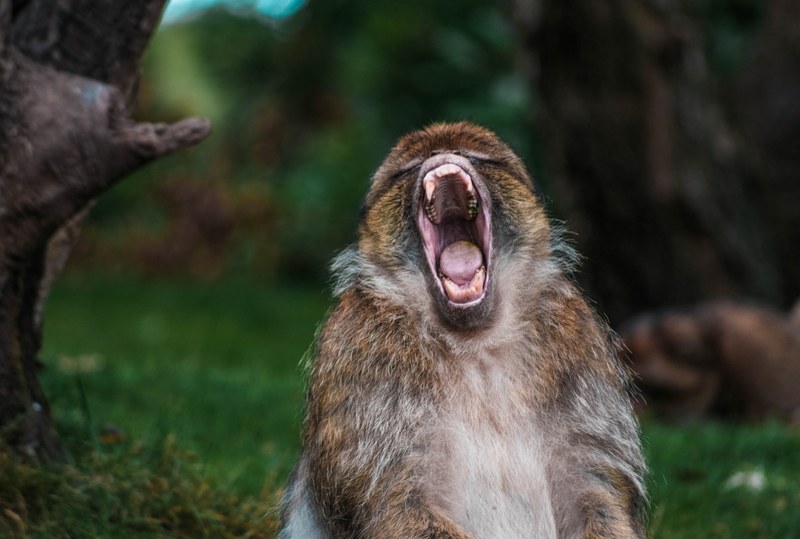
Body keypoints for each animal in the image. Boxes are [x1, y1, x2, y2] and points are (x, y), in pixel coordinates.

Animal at [279, 122, 646, 538]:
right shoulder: (358, 351)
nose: (443, 154)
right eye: (408, 168)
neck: (476, 343)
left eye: (481, 158)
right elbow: (397, 502)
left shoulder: (579, 342)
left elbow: (594, 492)